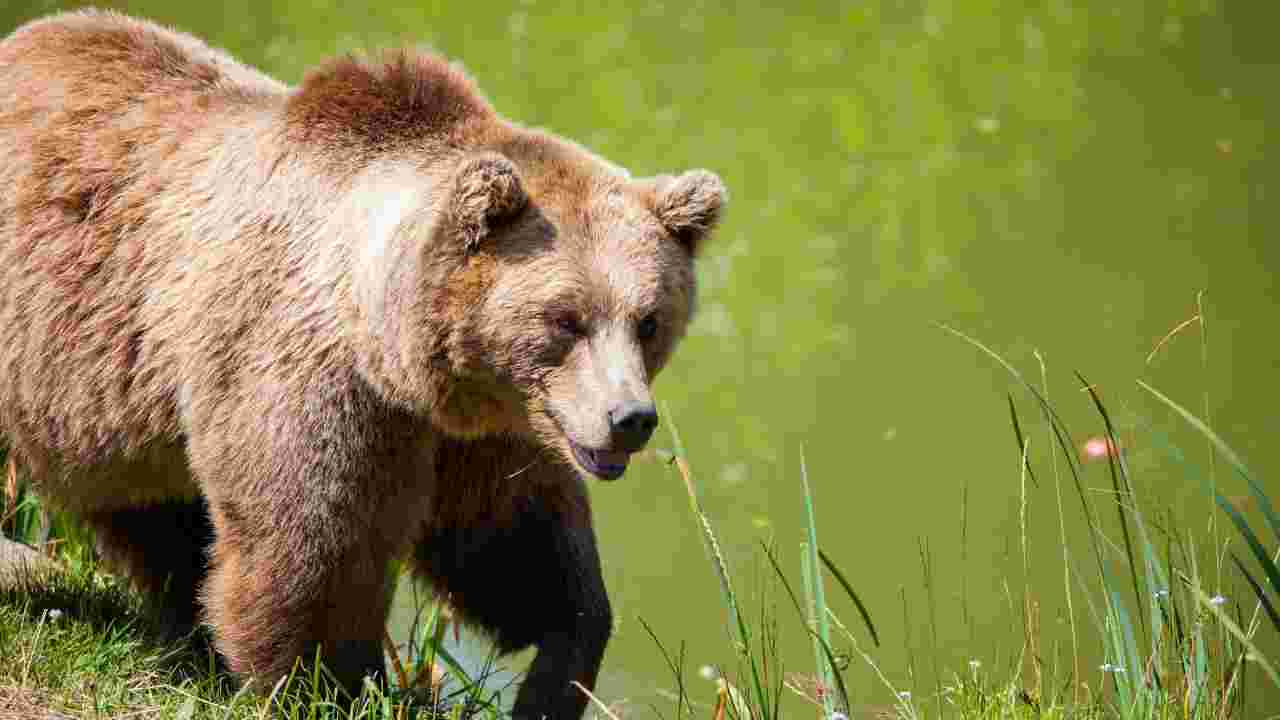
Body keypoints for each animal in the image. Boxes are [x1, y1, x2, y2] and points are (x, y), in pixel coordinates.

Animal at [0, 11, 727, 717]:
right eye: (565, 319)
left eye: (649, 320)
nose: (629, 417)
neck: (393, 346)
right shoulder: (311, 379)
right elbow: (312, 551)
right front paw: (327, 684)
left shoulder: (483, 431)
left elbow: (515, 547)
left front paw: (556, 670)